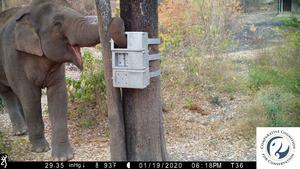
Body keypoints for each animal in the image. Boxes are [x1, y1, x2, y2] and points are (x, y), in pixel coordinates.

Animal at [0, 0, 126, 160]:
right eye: (57, 23)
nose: (114, 17)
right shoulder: (14, 58)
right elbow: (30, 96)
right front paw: (41, 149)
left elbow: (58, 94)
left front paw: (64, 157)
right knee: (8, 93)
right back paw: (21, 131)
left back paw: (25, 132)